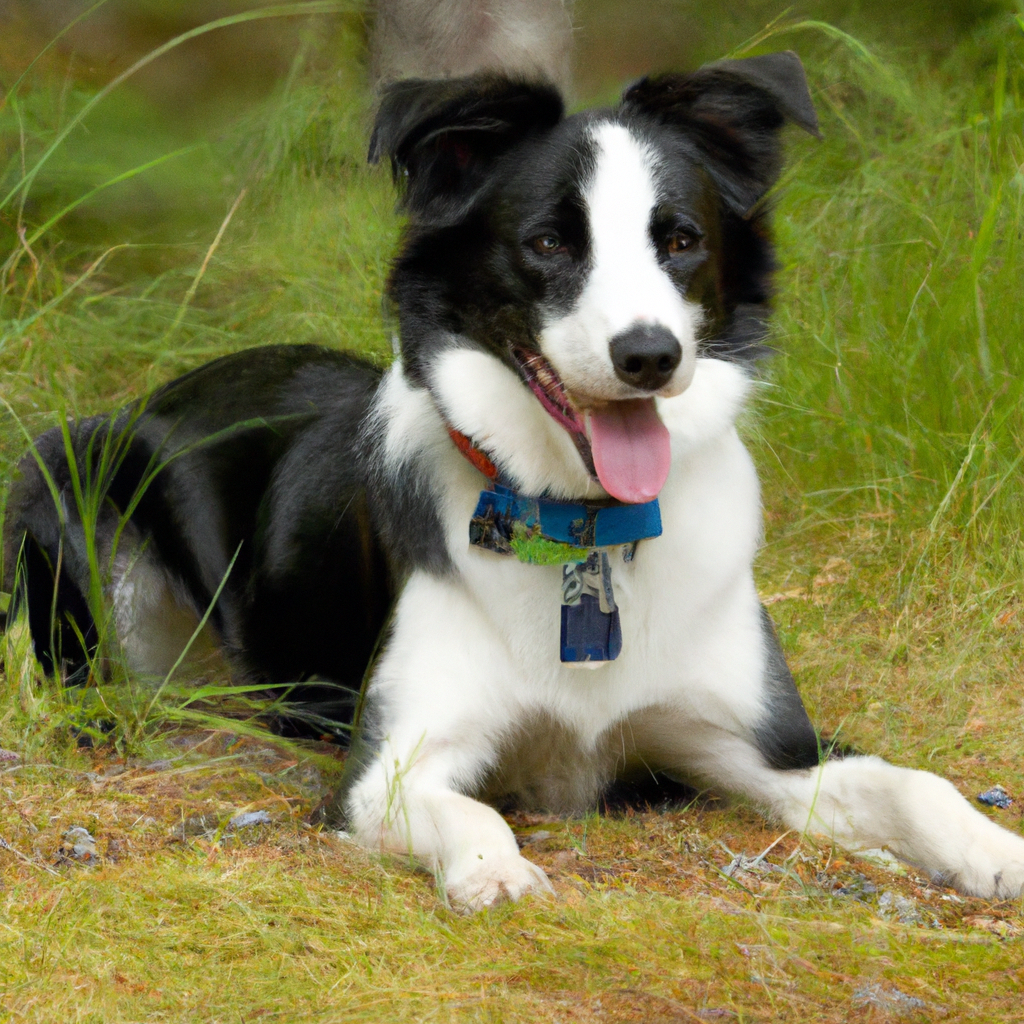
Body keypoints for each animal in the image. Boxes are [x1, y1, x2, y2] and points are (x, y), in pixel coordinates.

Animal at [8, 54, 1024, 913]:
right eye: (546, 244)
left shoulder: (769, 746)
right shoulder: (389, 765)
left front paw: (996, 851)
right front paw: (494, 871)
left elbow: (914, 783)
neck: (585, 530)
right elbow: (470, 807)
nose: (649, 356)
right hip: (65, 489)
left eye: (680, 240)